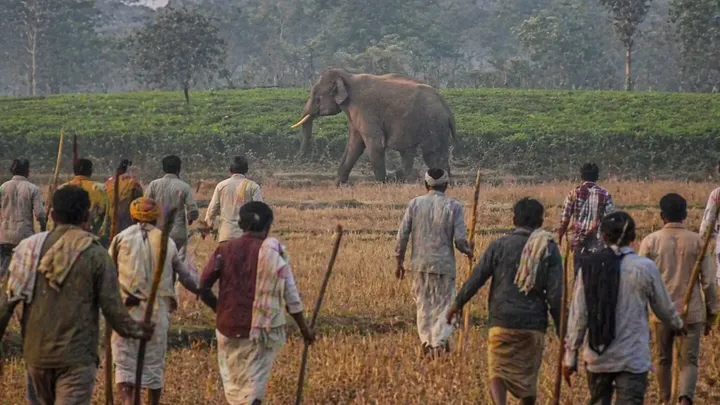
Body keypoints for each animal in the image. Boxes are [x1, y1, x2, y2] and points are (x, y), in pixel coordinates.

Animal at [291, 68, 457, 185]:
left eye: (315, 94)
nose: (298, 157)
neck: (348, 76)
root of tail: (447, 107)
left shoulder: (365, 110)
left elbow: (375, 144)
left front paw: (381, 184)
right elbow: (354, 146)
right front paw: (337, 185)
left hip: (433, 124)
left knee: (431, 154)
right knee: (436, 154)